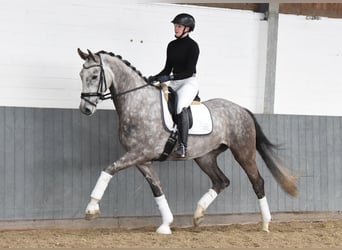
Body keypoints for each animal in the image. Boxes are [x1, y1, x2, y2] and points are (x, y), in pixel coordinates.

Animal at [77, 48, 296, 234]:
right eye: (81, 75)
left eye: (94, 76)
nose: (85, 109)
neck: (139, 103)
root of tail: (242, 109)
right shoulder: (142, 160)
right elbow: (157, 188)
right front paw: (166, 225)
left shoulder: (140, 153)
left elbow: (108, 169)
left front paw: (91, 209)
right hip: (205, 157)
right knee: (221, 181)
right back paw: (198, 215)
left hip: (243, 152)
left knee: (257, 182)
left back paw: (265, 224)